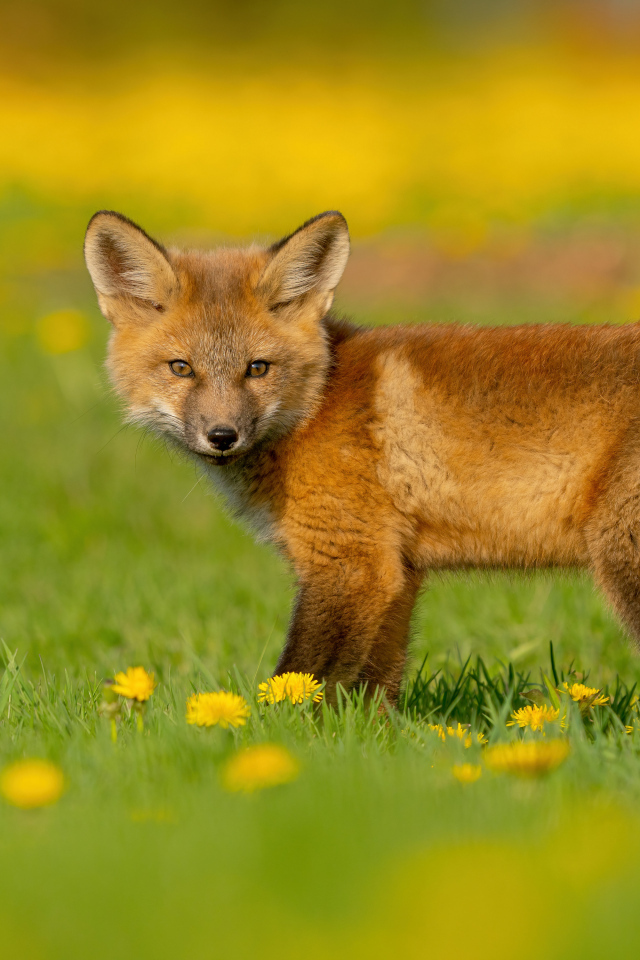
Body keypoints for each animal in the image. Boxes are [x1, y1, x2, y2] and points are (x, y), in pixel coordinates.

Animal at [85, 212, 640, 704]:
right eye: (181, 368)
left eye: (257, 368)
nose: (223, 435)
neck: (314, 406)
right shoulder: (396, 570)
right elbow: (374, 691)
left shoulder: (349, 562)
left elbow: (296, 681)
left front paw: (265, 735)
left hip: (620, 558)